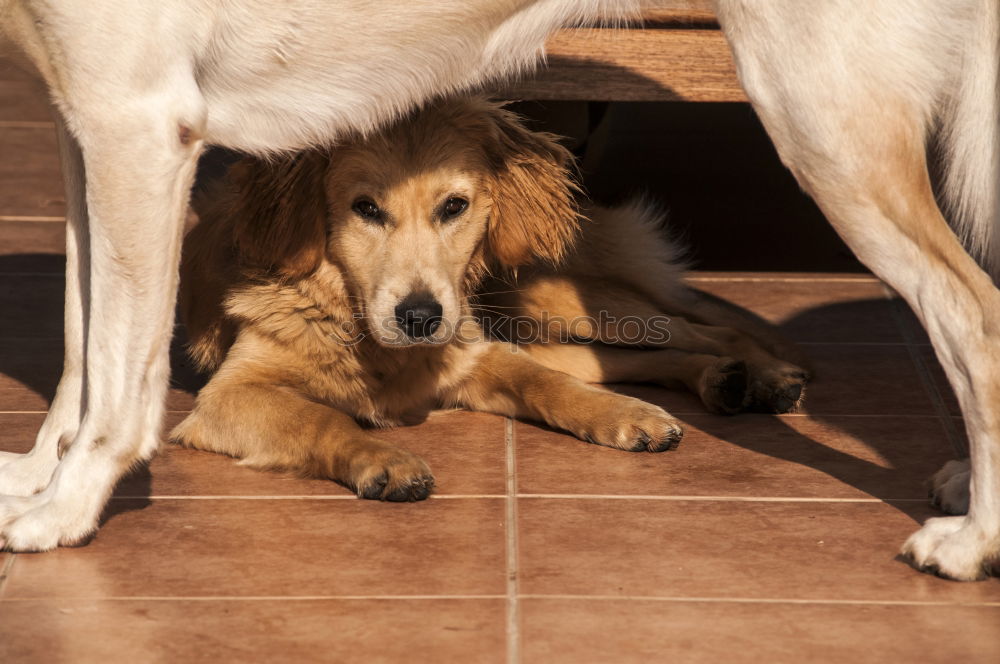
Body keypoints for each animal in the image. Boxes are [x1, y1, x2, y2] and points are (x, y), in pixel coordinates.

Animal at [174, 97, 812, 498]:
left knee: (707, 327)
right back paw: (718, 379)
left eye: (454, 205)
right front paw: (383, 460)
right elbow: (321, 418)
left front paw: (622, 416)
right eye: (365, 208)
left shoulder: (477, 356)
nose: (420, 318)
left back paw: (768, 374)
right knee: (647, 357)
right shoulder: (229, 396)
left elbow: (548, 386)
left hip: (573, 309)